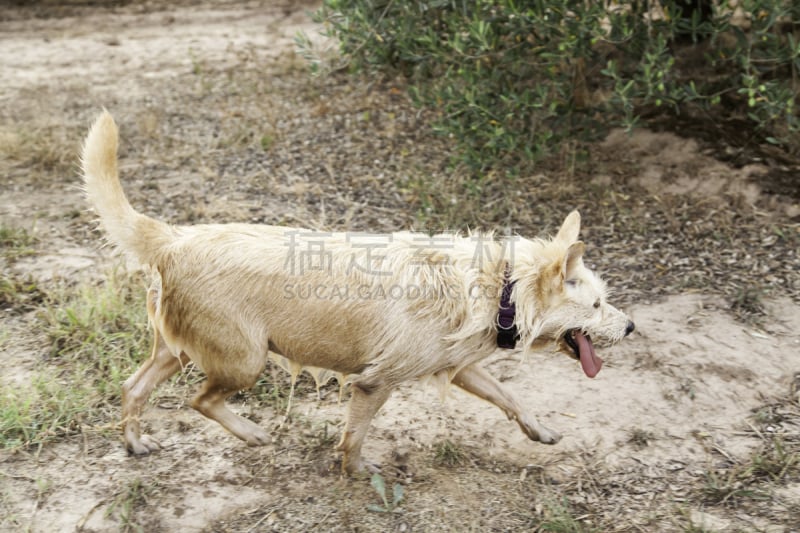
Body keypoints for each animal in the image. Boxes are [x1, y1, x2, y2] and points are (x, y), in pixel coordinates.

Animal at [79, 110, 632, 472]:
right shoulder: (375, 383)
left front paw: (539, 430)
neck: (499, 285)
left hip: (177, 351)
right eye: (597, 304)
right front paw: (355, 472)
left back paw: (135, 444)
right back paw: (251, 432)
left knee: (133, 387)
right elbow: (355, 437)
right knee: (199, 400)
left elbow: (509, 396)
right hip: (244, 360)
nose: (630, 326)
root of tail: (175, 236)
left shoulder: (461, 368)